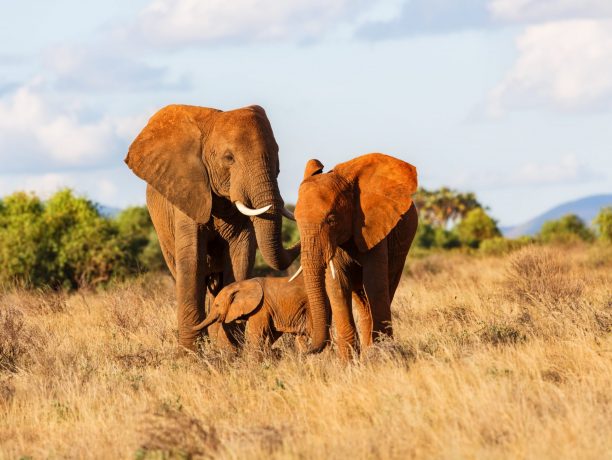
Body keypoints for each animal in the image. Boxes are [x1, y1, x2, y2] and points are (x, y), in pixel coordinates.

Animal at [125, 103, 298, 348]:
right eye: (229, 158)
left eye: (277, 155)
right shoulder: (187, 191)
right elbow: (192, 259)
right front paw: (191, 351)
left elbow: (241, 252)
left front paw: (232, 345)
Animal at [294, 154, 418, 356]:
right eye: (295, 220)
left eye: (331, 220)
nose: (304, 346)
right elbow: (337, 285)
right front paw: (349, 361)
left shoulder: (374, 227)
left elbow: (374, 283)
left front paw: (381, 355)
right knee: (361, 298)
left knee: (385, 286)